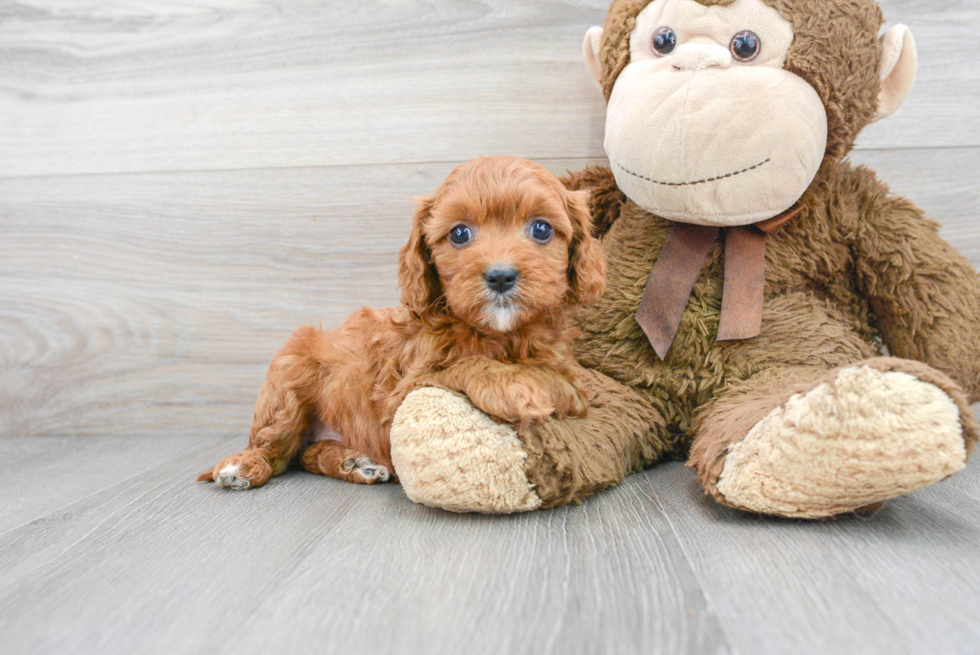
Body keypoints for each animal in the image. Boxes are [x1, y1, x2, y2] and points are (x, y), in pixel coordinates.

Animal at [199, 156, 604, 490]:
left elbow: (560, 384)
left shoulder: (568, 376)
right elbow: (459, 364)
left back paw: (352, 462)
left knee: (305, 453)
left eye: (541, 230)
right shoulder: (402, 392)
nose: (500, 276)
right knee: (279, 448)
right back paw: (241, 466)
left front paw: (528, 384)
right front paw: (512, 386)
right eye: (460, 233)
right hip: (291, 368)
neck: (496, 333)